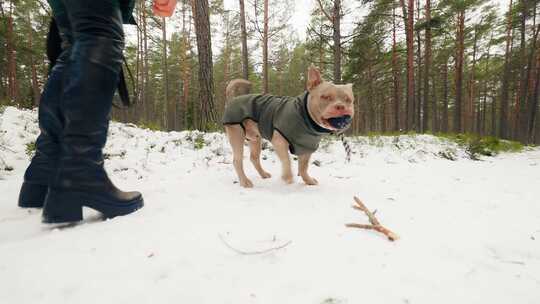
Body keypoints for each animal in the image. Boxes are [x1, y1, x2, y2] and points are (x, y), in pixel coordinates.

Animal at [221, 65, 352, 186]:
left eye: (348, 100)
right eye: (325, 97)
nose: (341, 106)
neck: (305, 117)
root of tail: (232, 100)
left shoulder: (306, 147)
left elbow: (303, 167)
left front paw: (308, 180)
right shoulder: (279, 140)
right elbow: (287, 160)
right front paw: (287, 176)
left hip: (255, 139)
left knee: (254, 158)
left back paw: (263, 174)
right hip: (237, 134)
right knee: (237, 161)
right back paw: (245, 181)